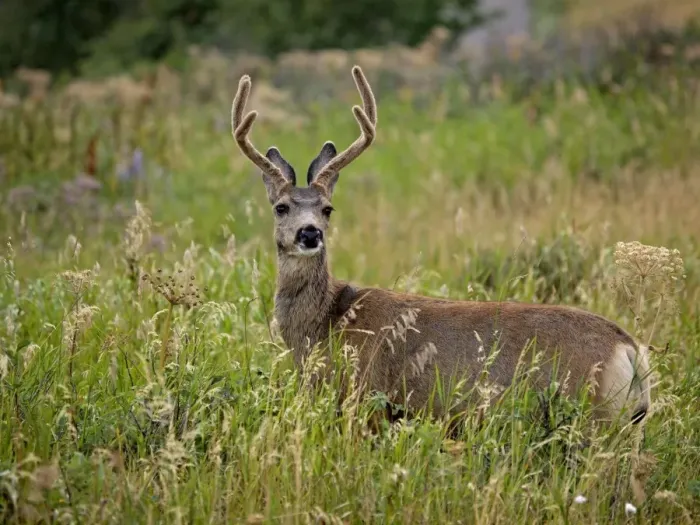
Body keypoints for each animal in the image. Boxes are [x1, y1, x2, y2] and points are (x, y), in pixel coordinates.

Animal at [229, 65, 652, 427]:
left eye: (327, 209)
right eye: (281, 207)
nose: (309, 234)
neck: (325, 325)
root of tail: (629, 349)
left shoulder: (368, 401)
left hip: (591, 413)